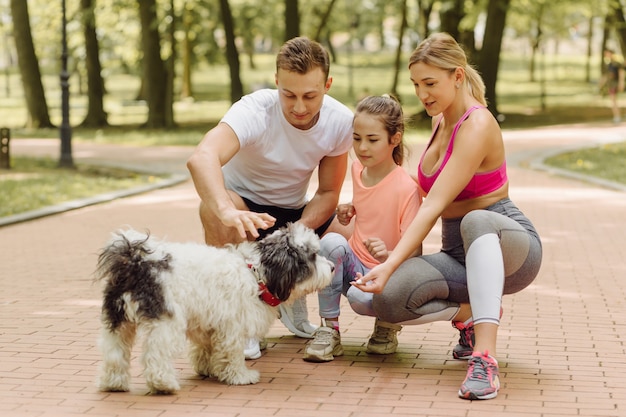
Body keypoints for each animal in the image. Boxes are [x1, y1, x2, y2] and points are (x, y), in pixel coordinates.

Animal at [94, 223, 332, 392]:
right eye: (312, 256)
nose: (332, 267)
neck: (256, 275)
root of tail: (136, 264)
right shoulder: (233, 326)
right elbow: (232, 354)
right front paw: (240, 376)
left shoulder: (208, 322)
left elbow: (205, 348)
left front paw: (207, 369)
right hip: (165, 322)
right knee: (156, 354)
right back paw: (163, 384)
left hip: (118, 321)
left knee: (115, 352)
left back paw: (114, 383)